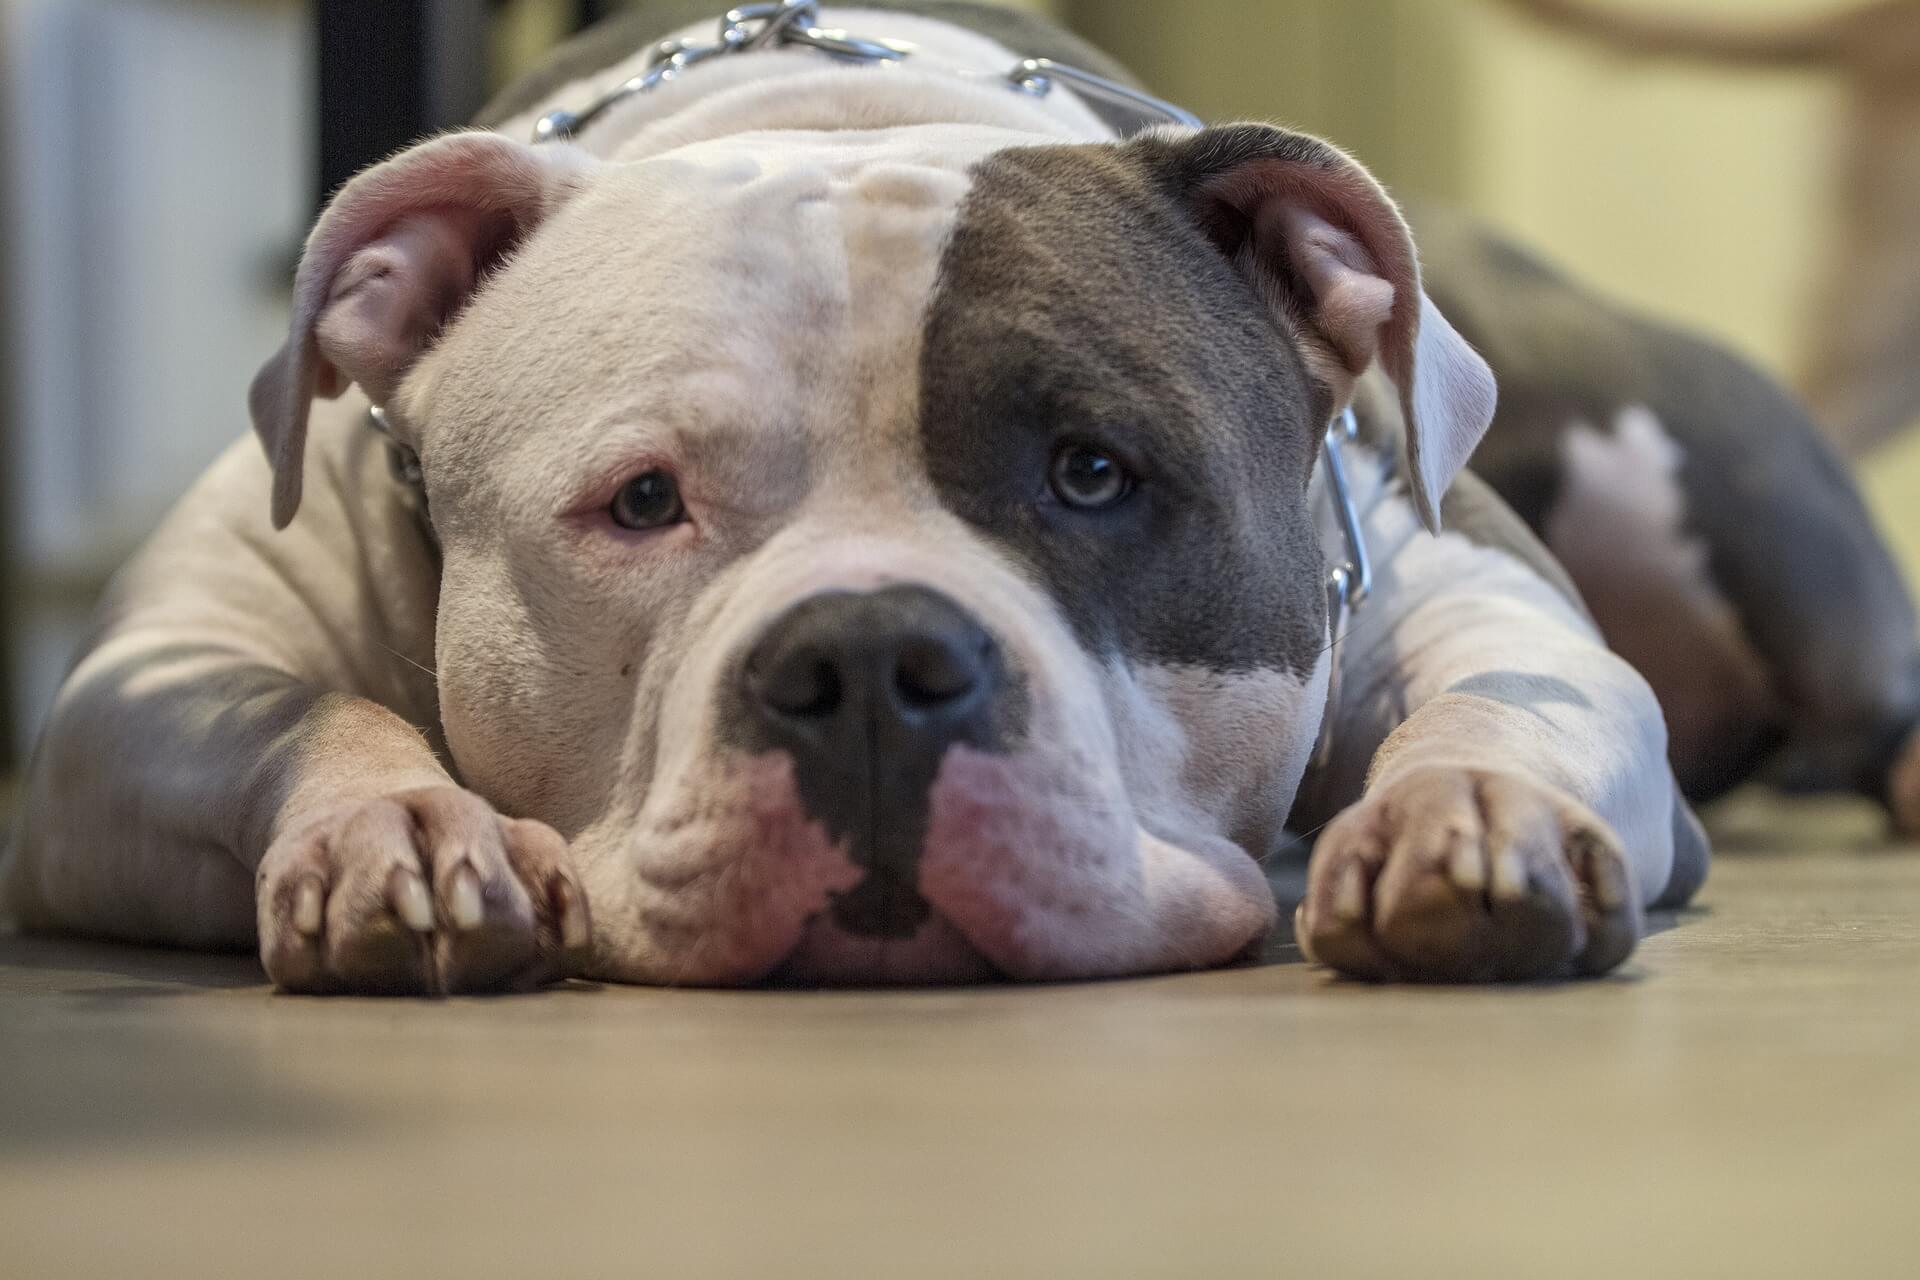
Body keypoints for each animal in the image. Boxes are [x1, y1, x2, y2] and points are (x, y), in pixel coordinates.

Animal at [3, 0, 1904, 997]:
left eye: (1095, 475)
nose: (866, 669)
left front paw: (1469, 815)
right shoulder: (138, 696)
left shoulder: (1450, 578)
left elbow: (1518, 691)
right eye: (641, 503)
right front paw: (397, 827)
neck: (830, 112)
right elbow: (299, 712)